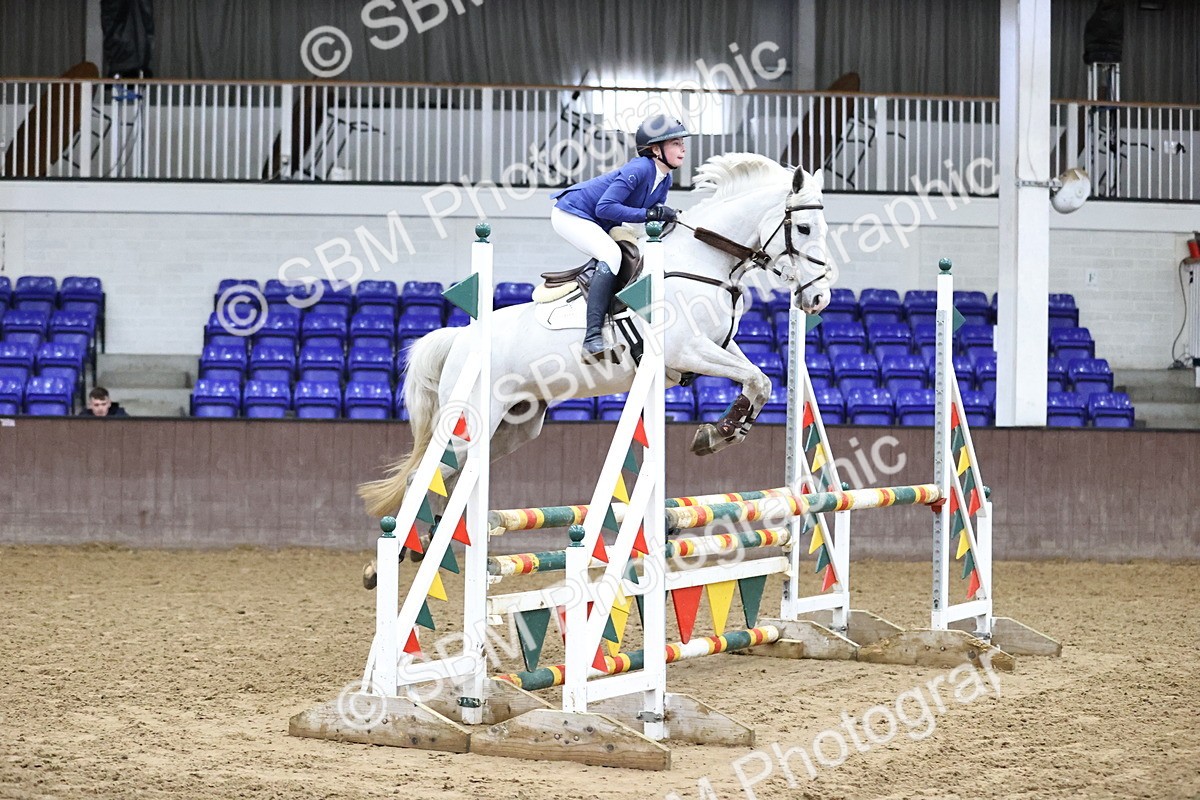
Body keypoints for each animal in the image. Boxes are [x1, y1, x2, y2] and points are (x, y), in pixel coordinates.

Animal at [358, 154, 834, 566]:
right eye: (804, 227)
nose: (818, 299)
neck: (705, 263)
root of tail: (461, 337)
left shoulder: (716, 347)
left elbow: (760, 381)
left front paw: (722, 432)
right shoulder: (686, 350)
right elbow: (756, 379)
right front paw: (718, 433)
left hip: (513, 426)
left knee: (452, 475)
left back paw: (429, 542)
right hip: (472, 418)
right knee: (424, 475)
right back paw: (391, 558)